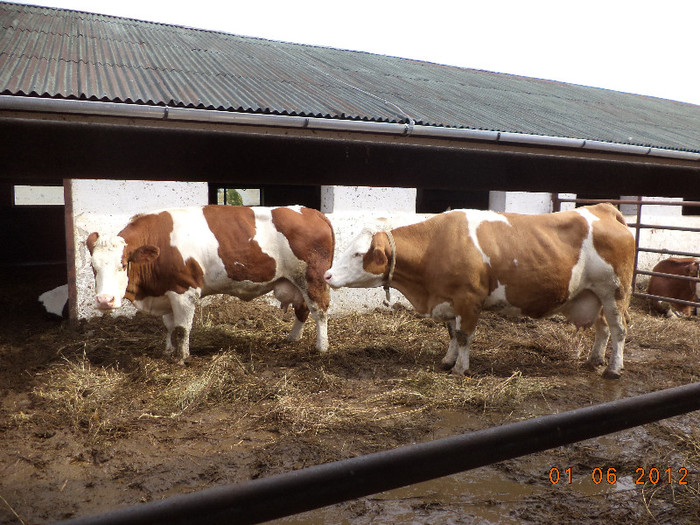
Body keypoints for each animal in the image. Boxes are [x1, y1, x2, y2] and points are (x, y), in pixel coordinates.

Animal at [87, 206, 334, 364]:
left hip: (312, 277)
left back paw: (322, 347)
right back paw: (293, 338)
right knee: (303, 310)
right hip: (296, 281)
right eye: (92, 266)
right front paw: (168, 350)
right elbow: (169, 325)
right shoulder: (166, 291)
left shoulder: (184, 291)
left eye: (123, 264)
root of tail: (311, 212)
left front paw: (182, 358)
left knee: (319, 310)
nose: (105, 301)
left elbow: (181, 328)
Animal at [326, 203, 636, 378]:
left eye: (357, 253)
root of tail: (602, 209)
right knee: (603, 327)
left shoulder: (468, 299)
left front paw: (460, 369)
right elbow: (452, 333)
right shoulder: (450, 299)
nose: (327, 275)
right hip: (595, 294)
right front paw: (447, 361)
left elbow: (464, 335)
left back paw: (613, 369)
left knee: (619, 329)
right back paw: (594, 360)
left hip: (615, 291)